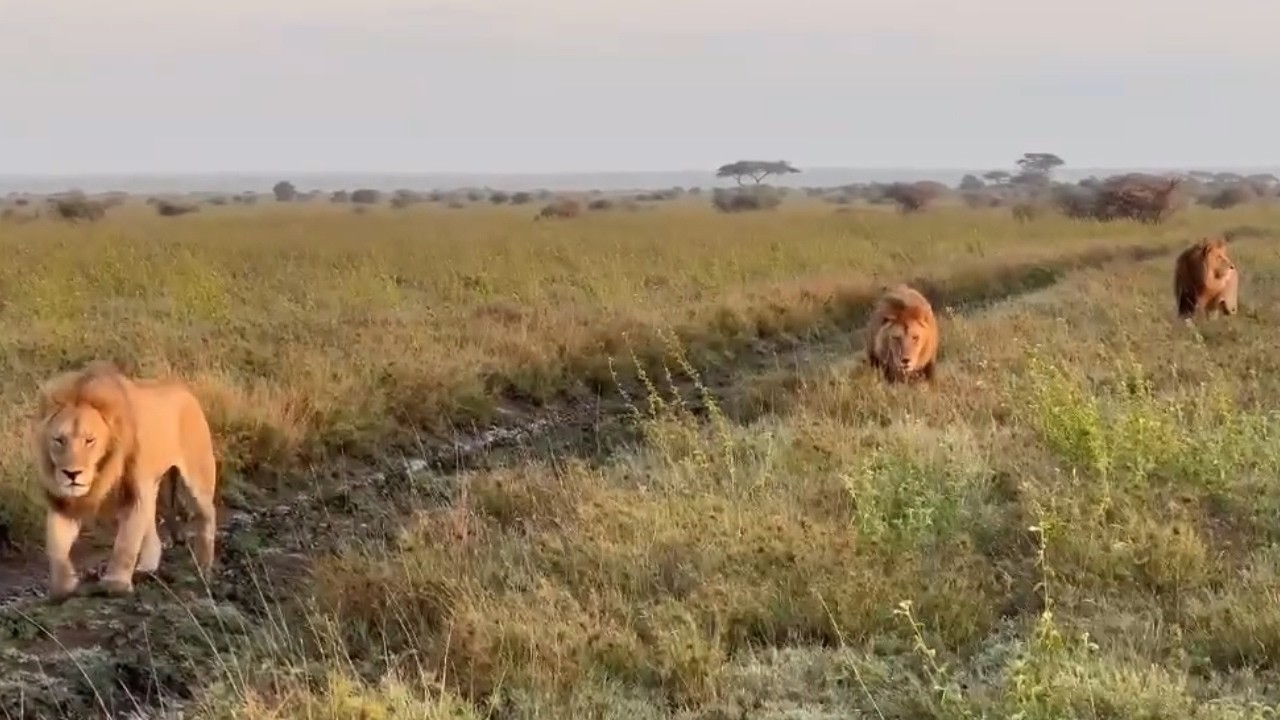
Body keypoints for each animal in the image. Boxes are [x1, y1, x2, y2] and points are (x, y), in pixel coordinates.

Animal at [32, 361, 218, 600]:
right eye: (59, 440)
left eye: (89, 440)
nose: (72, 474)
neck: (102, 472)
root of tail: (186, 392)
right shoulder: (63, 501)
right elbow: (55, 545)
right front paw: (61, 588)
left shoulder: (134, 492)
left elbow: (126, 542)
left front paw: (116, 583)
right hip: (154, 484)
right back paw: (147, 567)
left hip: (196, 476)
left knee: (208, 513)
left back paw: (204, 566)